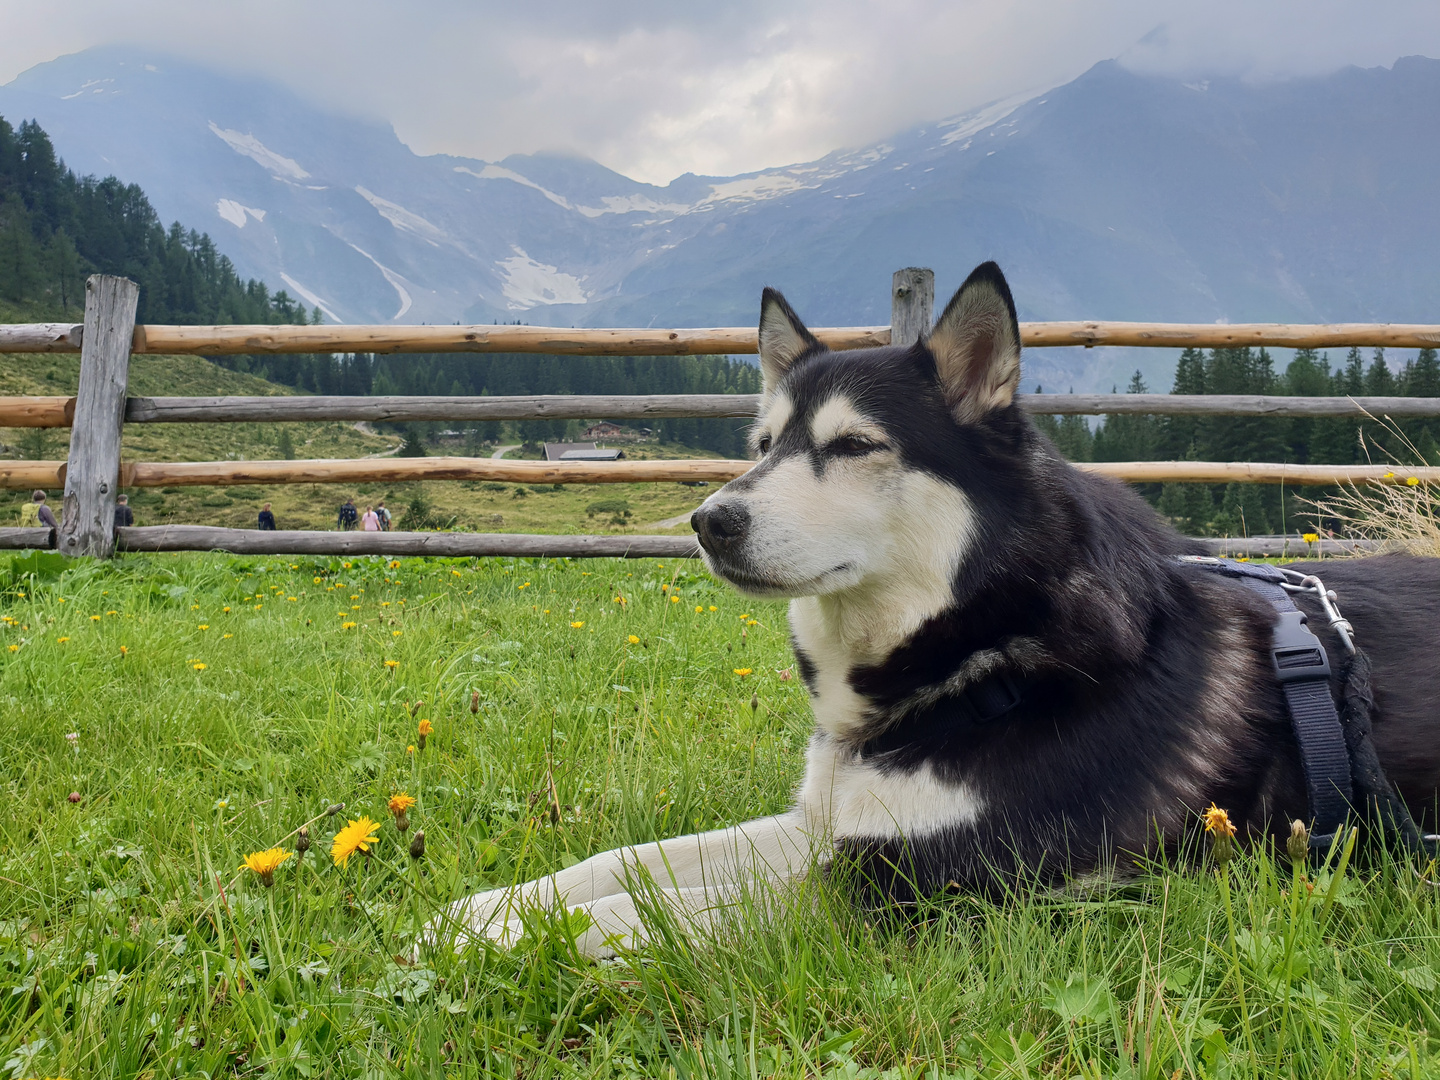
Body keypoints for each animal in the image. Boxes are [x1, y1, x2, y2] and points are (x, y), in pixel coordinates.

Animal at [432, 266, 1440, 961]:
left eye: (852, 445)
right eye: (763, 445)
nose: (710, 521)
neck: (981, 654)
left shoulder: (922, 883)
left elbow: (650, 912)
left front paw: (498, 942)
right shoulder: (832, 825)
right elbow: (624, 866)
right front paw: (482, 910)